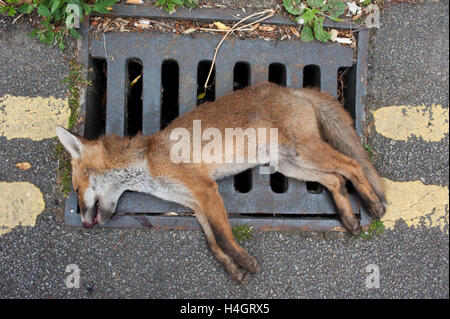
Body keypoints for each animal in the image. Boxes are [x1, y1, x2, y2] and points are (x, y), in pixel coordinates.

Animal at [56, 82, 386, 284]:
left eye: (76, 190)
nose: (84, 223)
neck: (148, 162)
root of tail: (291, 89)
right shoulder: (194, 203)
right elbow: (213, 241)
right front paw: (232, 268)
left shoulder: (206, 189)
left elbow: (224, 236)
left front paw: (246, 262)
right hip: (290, 164)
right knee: (335, 178)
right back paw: (348, 218)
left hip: (303, 152)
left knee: (352, 165)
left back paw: (373, 205)